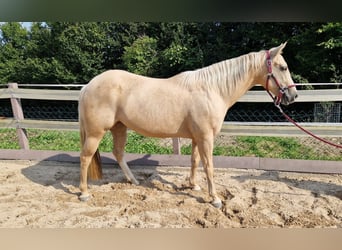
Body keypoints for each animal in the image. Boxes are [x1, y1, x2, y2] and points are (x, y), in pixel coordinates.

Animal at [78, 42, 296, 207]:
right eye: (283, 67)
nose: (293, 95)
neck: (212, 89)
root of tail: (88, 85)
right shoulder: (206, 137)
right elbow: (209, 166)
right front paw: (215, 199)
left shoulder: (197, 137)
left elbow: (195, 161)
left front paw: (193, 186)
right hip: (96, 133)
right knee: (85, 157)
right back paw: (84, 193)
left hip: (119, 127)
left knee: (118, 153)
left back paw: (133, 180)